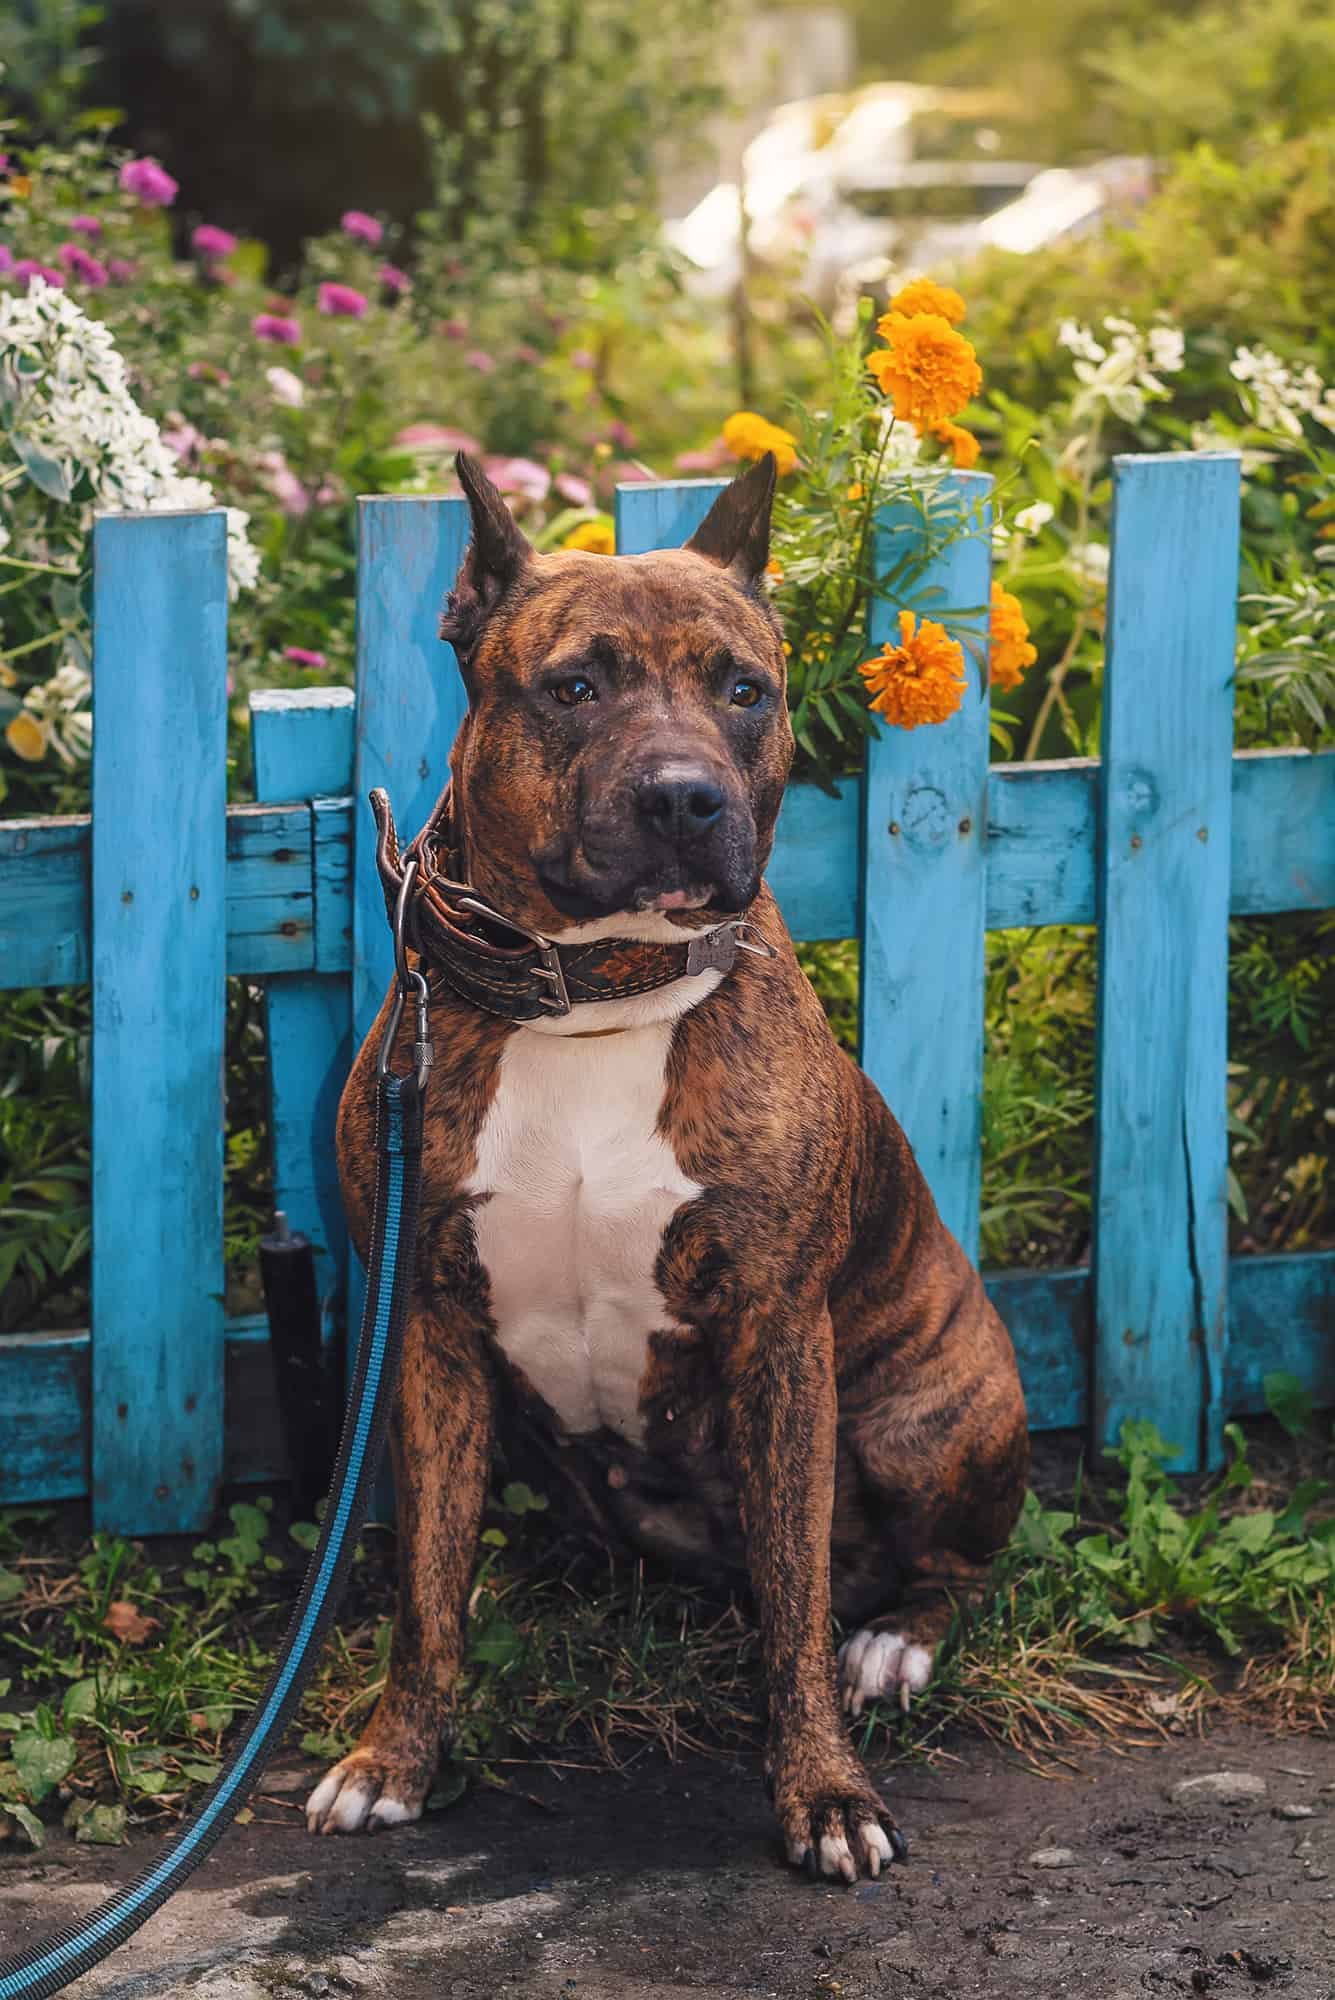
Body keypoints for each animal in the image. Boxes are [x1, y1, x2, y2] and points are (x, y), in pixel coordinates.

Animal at [307, 450, 1031, 1872]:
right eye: (573, 686)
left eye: (744, 689)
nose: (686, 797)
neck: (596, 992)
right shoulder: (424, 1328)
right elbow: (426, 1586)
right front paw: (394, 1756)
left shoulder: (777, 1330)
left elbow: (796, 1610)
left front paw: (826, 1790)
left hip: (931, 1418)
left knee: (941, 1569)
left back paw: (893, 1639)